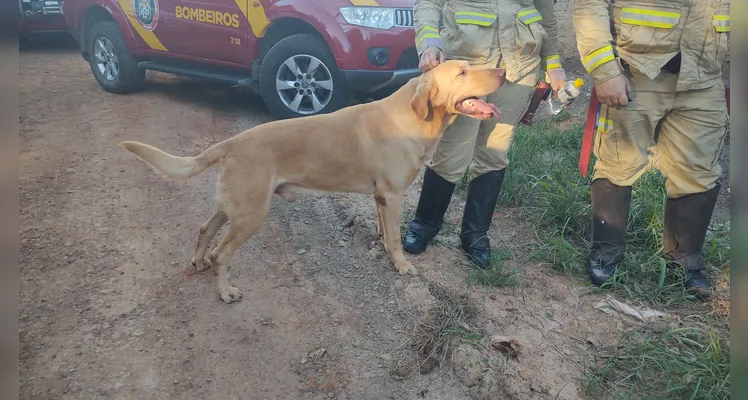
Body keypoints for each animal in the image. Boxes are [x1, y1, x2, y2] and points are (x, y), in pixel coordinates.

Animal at [121, 60, 502, 304]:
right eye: (463, 71)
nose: (502, 70)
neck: (413, 116)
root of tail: (231, 143)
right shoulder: (392, 196)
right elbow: (395, 239)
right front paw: (402, 265)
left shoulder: (381, 198)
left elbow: (384, 232)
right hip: (252, 215)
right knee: (221, 253)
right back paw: (225, 291)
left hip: (235, 206)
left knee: (204, 229)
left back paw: (198, 260)